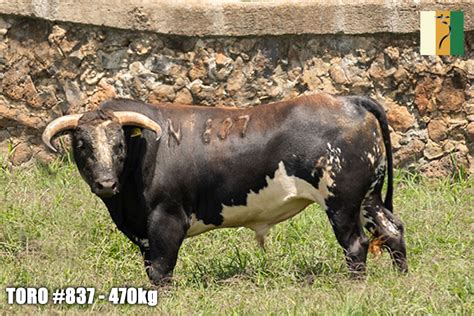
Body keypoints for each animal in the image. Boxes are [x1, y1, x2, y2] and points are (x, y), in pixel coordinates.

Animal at [41, 93, 408, 284]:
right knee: (391, 229)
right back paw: (401, 277)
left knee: (356, 244)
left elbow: (160, 269)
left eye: (119, 145)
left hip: (341, 201)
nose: (106, 183)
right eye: (82, 145)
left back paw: (355, 285)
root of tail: (349, 100)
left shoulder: (166, 219)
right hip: (368, 197)